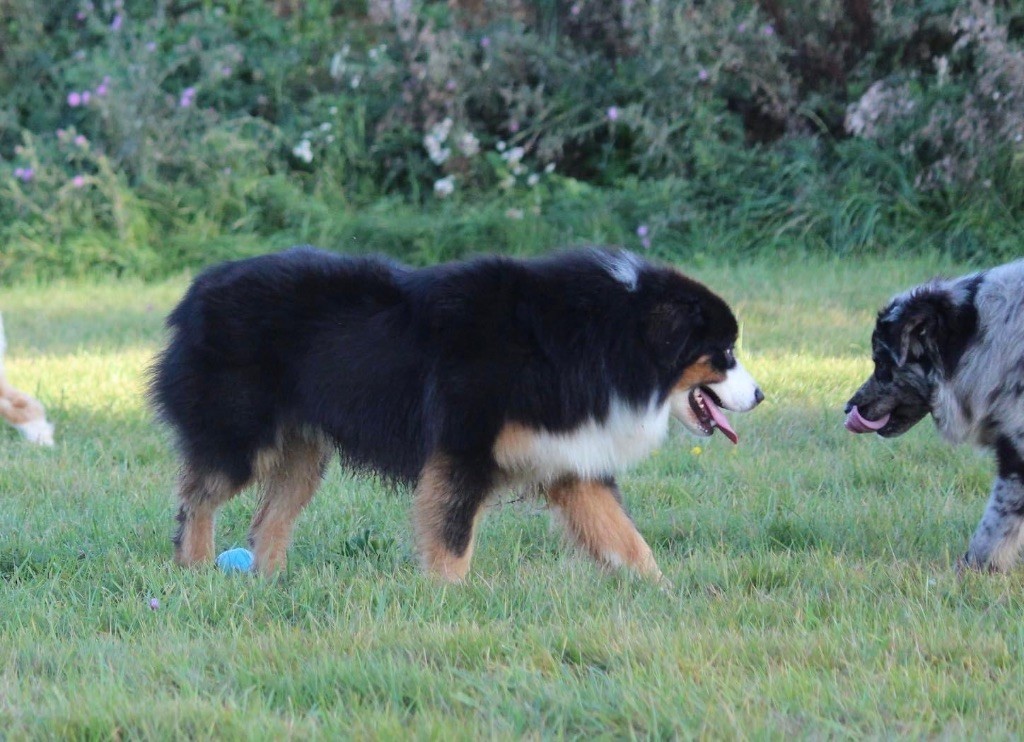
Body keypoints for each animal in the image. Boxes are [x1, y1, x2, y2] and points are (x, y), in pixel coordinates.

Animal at [149, 247, 761, 577]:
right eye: (724, 353)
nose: (760, 396)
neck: (595, 339)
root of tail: (198, 287)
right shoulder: (463, 447)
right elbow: (451, 537)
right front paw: (446, 600)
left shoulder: (569, 454)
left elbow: (627, 540)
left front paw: (664, 592)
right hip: (238, 435)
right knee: (196, 499)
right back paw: (196, 568)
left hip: (304, 451)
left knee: (267, 521)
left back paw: (271, 583)